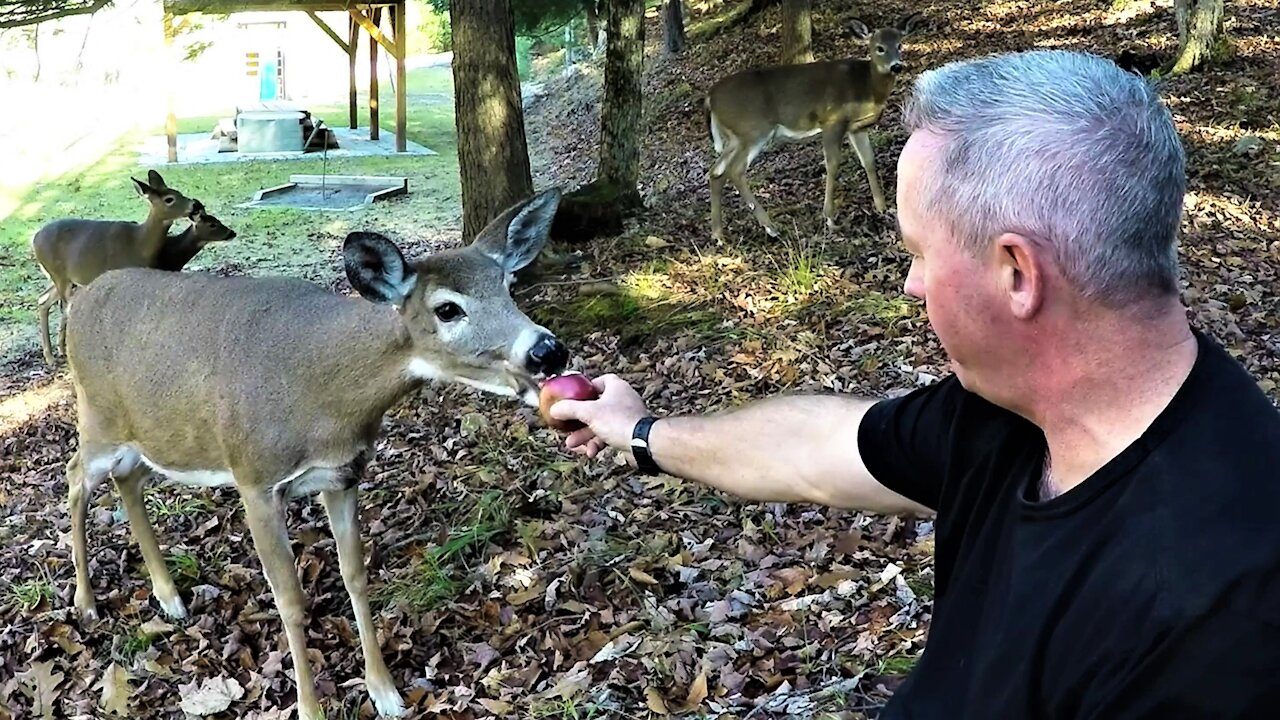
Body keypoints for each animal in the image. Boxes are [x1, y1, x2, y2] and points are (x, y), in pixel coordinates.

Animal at [30, 169, 197, 363]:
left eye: (178, 192)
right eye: (169, 199)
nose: (194, 204)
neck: (139, 243)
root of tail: (33, 240)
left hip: (64, 277)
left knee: (43, 300)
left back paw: (55, 353)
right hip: (58, 275)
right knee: (63, 307)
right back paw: (54, 355)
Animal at [60, 185, 570, 717]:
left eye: (508, 285)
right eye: (447, 309)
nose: (547, 351)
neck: (328, 400)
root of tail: (79, 301)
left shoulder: (342, 475)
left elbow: (356, 575)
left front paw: (385, 692)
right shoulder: (256, 479)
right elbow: (289, 599)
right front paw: (309, 706)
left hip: (146, 435)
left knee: (128, 478)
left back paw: (169, 598)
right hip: (96, 417)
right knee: (75, 475)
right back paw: (86, 603)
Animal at [706, 11, 926, 240]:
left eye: (900, 44)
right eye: (879, 48)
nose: (897, 66)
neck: (866, 86)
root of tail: (710, 97)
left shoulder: (856, 127)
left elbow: (869, 161)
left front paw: (882, 207)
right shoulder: (832, 121)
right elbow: (832, 164)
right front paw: (829, 218)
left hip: (735, 138)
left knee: (716, 172)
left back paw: (718, 234)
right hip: (753, 130)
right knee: (735, 171)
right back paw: (770, 227)